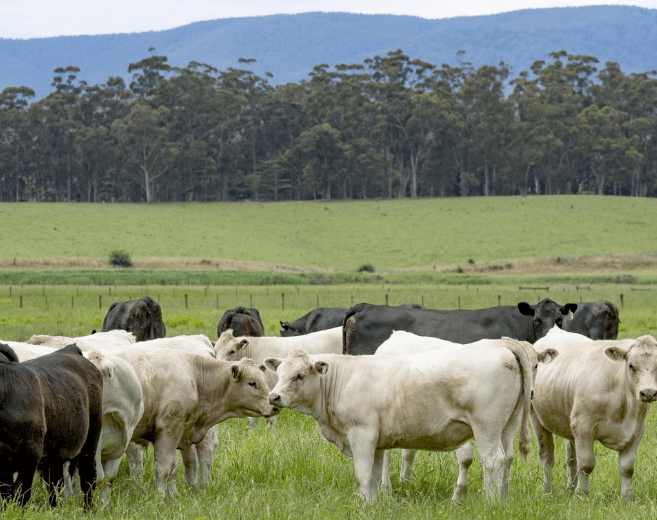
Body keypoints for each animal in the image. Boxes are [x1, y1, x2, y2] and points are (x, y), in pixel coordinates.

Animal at [0, 344, 103, 510]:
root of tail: (70, 349)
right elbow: (6, 494)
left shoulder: (31, 455)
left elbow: (22, 493)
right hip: (57, 449)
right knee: (55, 482)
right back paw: (54, 509)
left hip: (92, 435)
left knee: (88, 475)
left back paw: (88, 511)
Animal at [266, 342, 540, 504]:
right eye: (279, 374)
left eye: (300, 375)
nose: (273, 396)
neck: (343, 379)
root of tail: (500, 344)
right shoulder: (376, 443)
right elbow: (374, 476)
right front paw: (372, 505)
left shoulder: (361, 434)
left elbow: (362, 475)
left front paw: (363, 506)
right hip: (507, 427)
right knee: (508, 459)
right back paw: (502, 501)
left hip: (486, 428)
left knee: (493, 462)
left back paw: (490, 502)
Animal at [532, 324, 656, 500]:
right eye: (631, 366)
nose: (648, 393)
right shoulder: (583, 427)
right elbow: (586, 464)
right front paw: (581, 495)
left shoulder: (636, 431)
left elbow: (627, 468)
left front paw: (627, 497)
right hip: (537, 418)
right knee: (547, 458)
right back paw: (548, 491)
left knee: (571, 459)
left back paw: (571, 488)